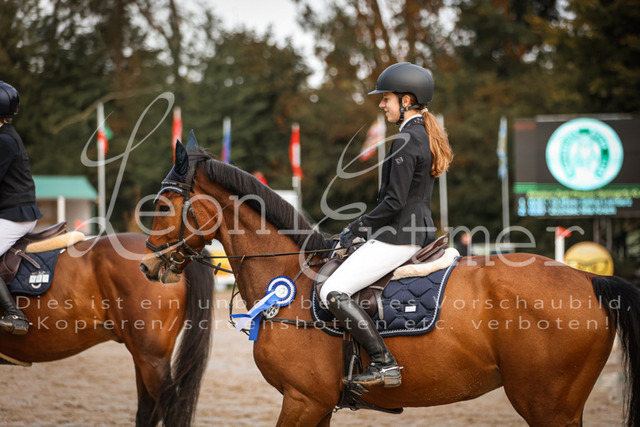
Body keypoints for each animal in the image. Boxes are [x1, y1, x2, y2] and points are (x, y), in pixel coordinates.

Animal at [141, 140, 640, 427]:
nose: (147, 266)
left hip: (548, 404)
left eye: (163, 205)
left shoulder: (303, 400)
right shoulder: (316, 404)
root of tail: (590, 279)